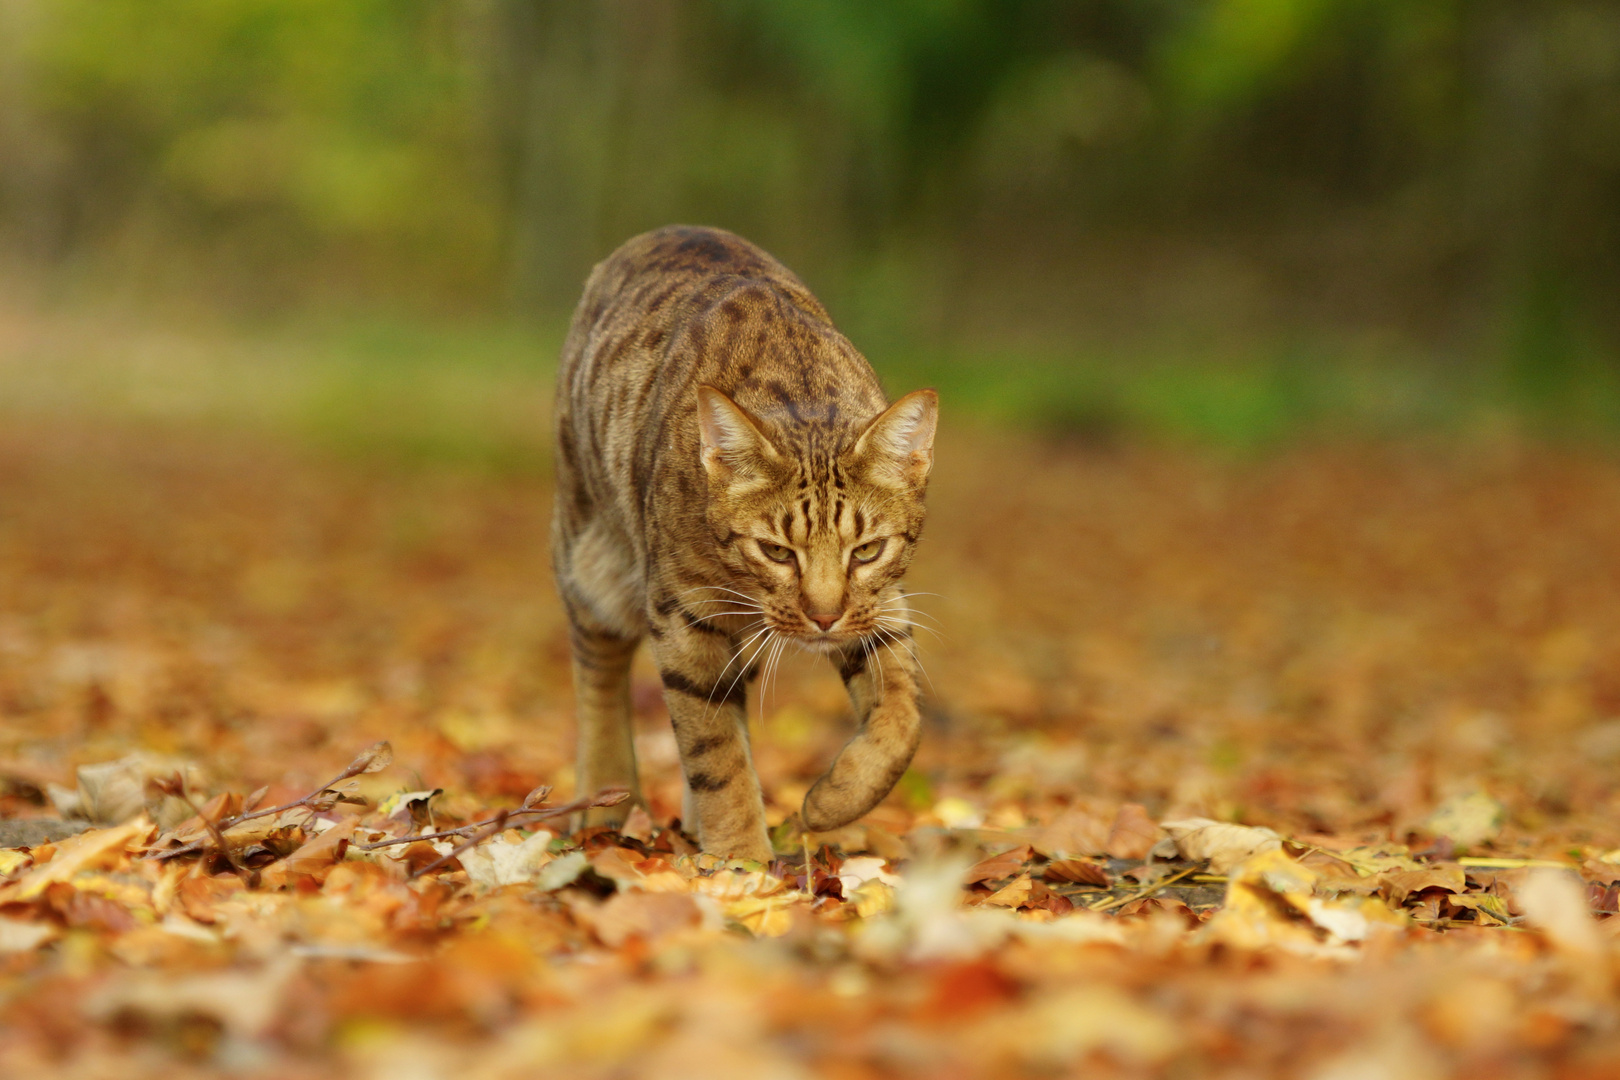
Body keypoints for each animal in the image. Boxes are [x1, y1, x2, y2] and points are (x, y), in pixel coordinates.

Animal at [554, 226, 939, 861]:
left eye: (866, 551)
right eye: (777, 551)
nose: (824, 618)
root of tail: (669, 229)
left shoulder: (881, 606)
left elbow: (903, 715)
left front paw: (832, 800)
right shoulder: (682, 615)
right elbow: (715, 751)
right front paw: (743, 862)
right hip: (589, 553)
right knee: (598, 666)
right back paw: (606, 798)